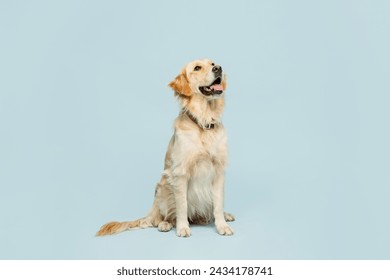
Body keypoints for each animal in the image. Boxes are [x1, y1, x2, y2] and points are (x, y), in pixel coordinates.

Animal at [95, 58, 235, 236]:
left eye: (212, 63)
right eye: (197, 68)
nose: (218, 69)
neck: (203, 123)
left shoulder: (218, 170)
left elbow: (218, 203)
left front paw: (222, 225)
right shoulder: (180, 173)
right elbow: (182, 205)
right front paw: (182, 228)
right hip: (163, 188)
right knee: (163, 216)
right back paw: (166, 224)